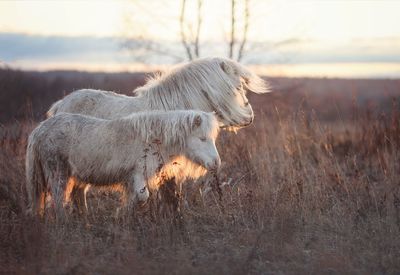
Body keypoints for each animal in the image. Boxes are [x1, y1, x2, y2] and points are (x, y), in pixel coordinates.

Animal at [25, 111, 219, 217]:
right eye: (202, 138)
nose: (216, 163)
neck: (151, 139)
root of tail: (39, 131)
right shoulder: (137, 175)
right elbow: (142, 197)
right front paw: (123, 216)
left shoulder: (131, 180)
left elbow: (135, 199)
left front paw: (124, 217)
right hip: (58, 173)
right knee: (59, 201)